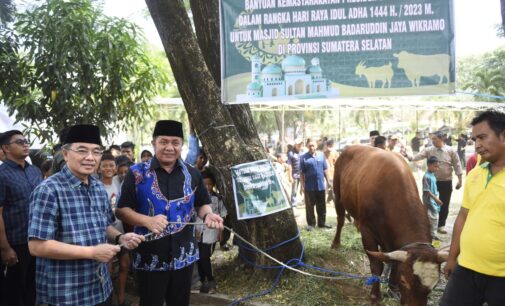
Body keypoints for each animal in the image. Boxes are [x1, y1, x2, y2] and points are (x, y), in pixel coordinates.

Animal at [332, 146, 446, 306]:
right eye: (404, 281)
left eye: (434, 286)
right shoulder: (368, 232)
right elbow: (376, 265)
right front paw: (375, 295)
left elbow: (393, 262)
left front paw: (393, 288)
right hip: (338, 194)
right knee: (340, 219)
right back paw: (336, 243)